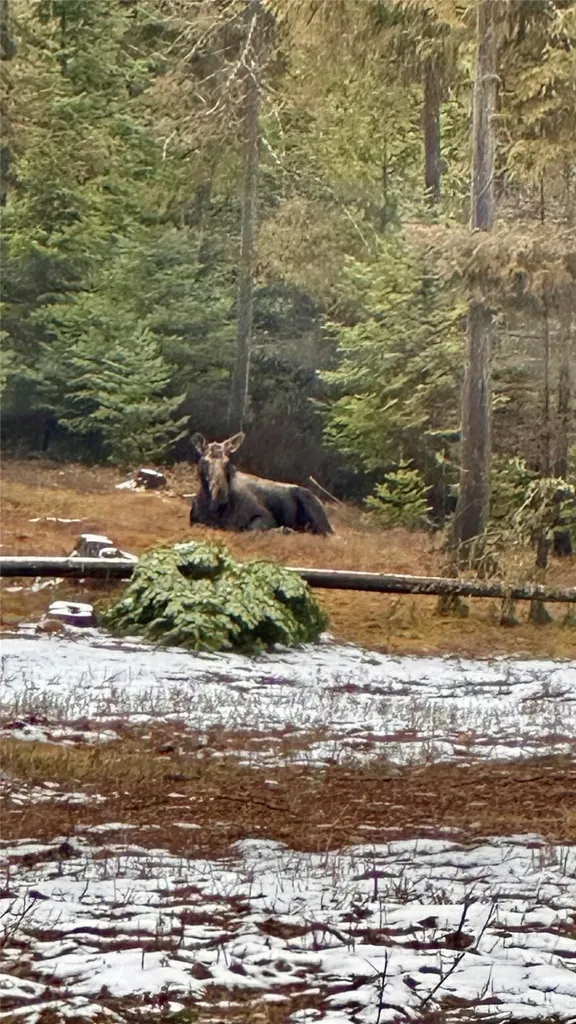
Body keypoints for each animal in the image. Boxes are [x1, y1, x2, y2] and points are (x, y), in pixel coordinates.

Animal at [189, 433, 334, 536]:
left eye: (227, 461)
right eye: (205, 461)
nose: (220, 492)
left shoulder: (266, 517)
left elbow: (251, 528)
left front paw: (283, 530)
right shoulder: (194, 520)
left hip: (321, 521)